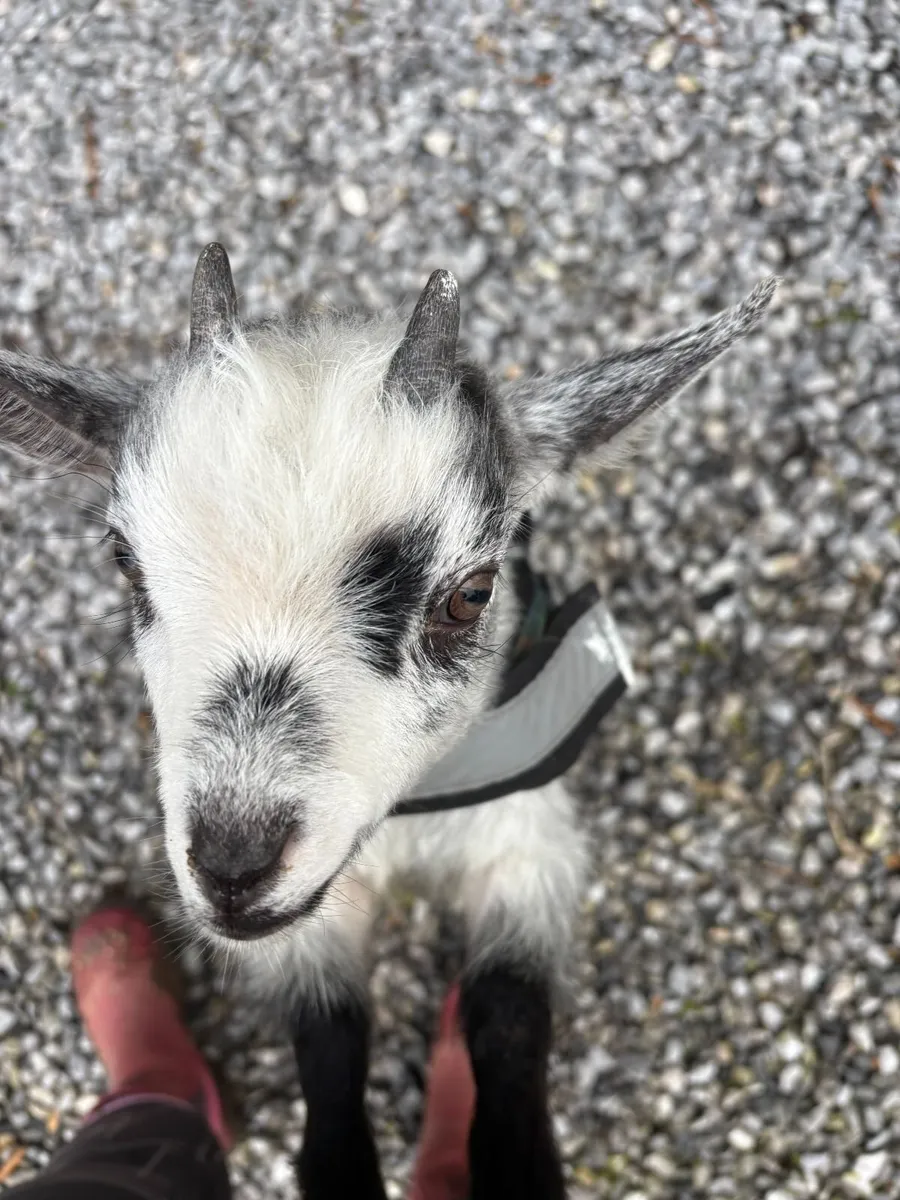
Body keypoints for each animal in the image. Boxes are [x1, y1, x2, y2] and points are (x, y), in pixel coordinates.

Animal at [0, 246, 777, 1200]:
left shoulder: (527, 844)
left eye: (470, 593)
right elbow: (329, 1042)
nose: (233, 867)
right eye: (125, 563)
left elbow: (509, 1012)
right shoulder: (315, 915)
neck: (412, 813)